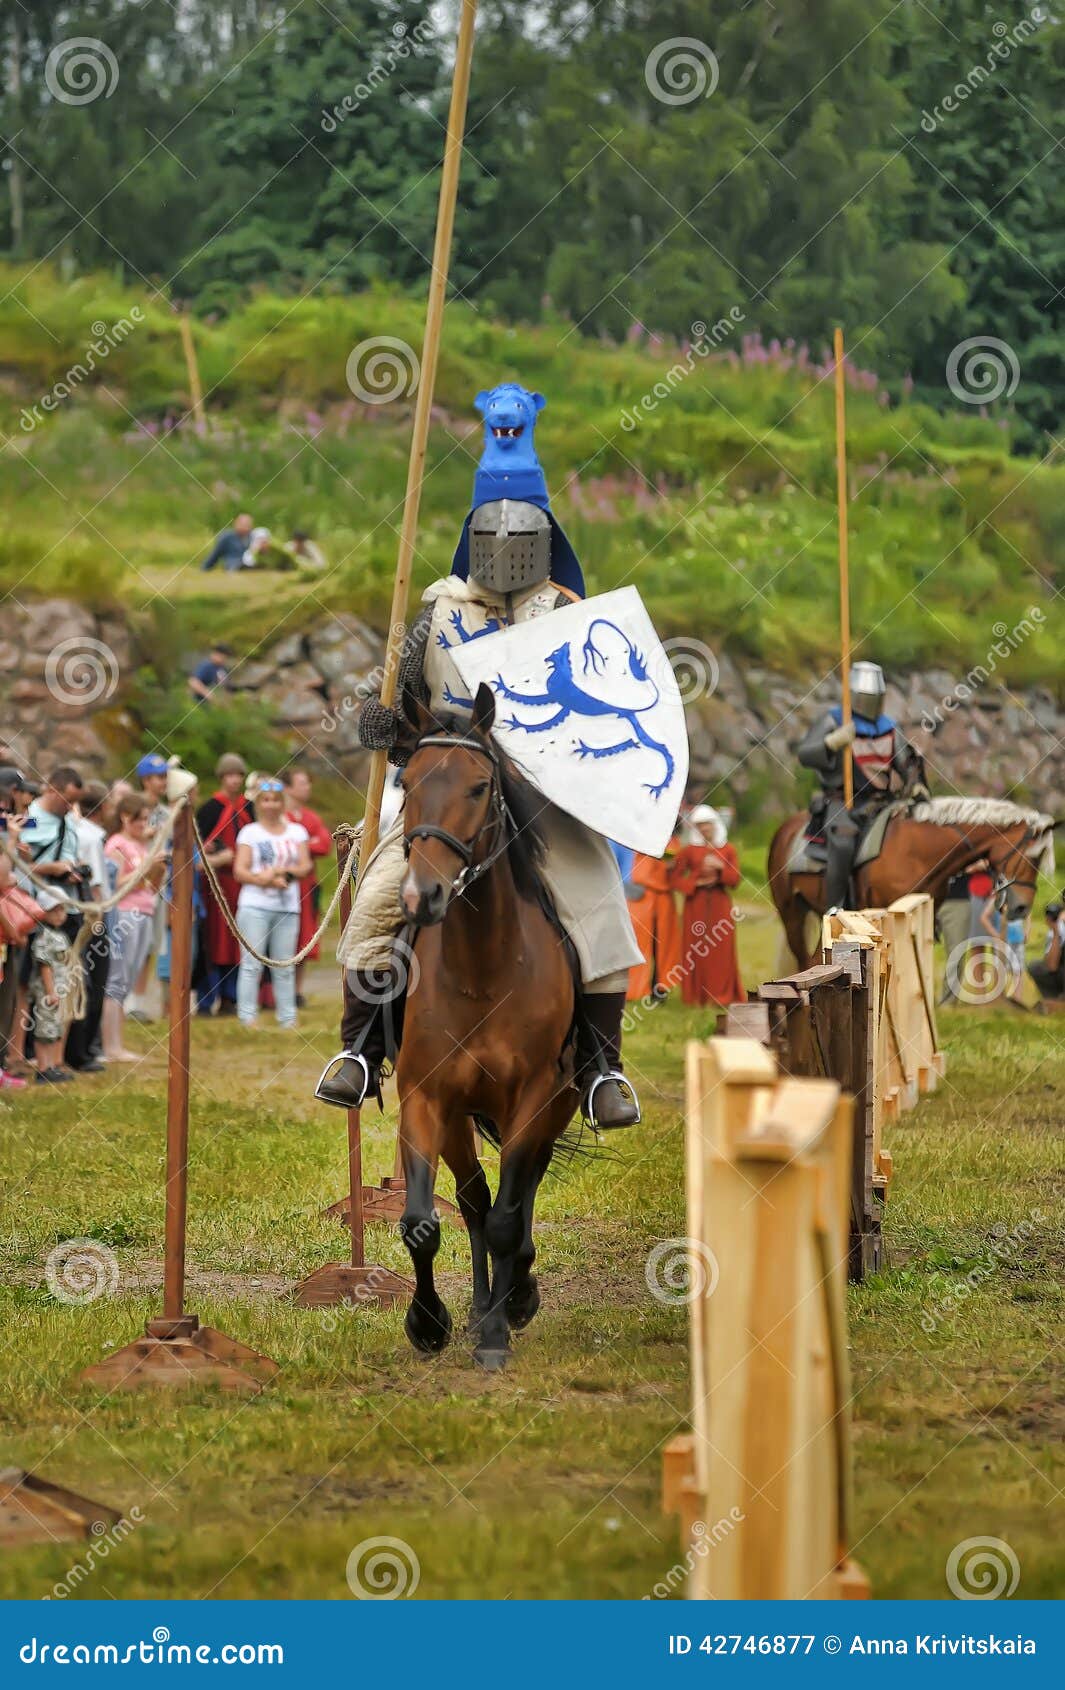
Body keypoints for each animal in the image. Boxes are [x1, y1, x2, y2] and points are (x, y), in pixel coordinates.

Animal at [393, 679, 581, 1365]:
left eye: (479, 787)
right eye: (408, 781)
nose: (421, 896)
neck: (482, 973)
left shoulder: (535, 1096)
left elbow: (508, 1215)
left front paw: (498, 1333)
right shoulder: (425, 1098)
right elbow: (423, 1222)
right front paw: (430, 1323)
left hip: (556, 1104)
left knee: (518, 1198)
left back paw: (515, 1295)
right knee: (475, 1197)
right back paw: (481, 1304)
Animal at [770, 801, 1054, 973]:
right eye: (1032, 856)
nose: (1021, 907)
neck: (918, 850)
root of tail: (786, 829)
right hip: (790, 912)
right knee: (803, 959)